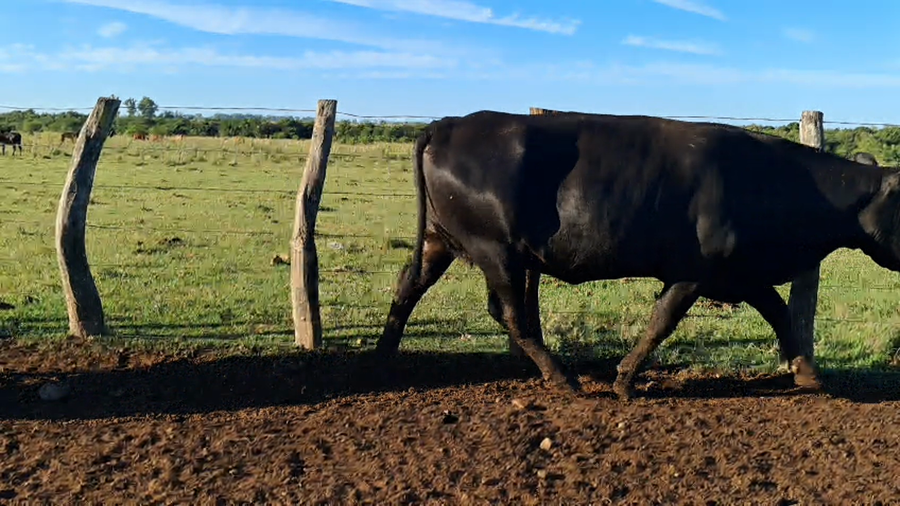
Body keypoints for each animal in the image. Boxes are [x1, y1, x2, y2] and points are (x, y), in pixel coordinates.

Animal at [377, 110, 900, 401]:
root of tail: (448, 125)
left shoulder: (740, 273)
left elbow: (780, 314)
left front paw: (807, 374)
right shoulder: (692, 272)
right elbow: (660, 323)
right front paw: (625, 380)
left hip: (442, 241)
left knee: (408, 286)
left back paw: (383, 357)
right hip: (496, 251)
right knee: (510, 314)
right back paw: (562, 379)